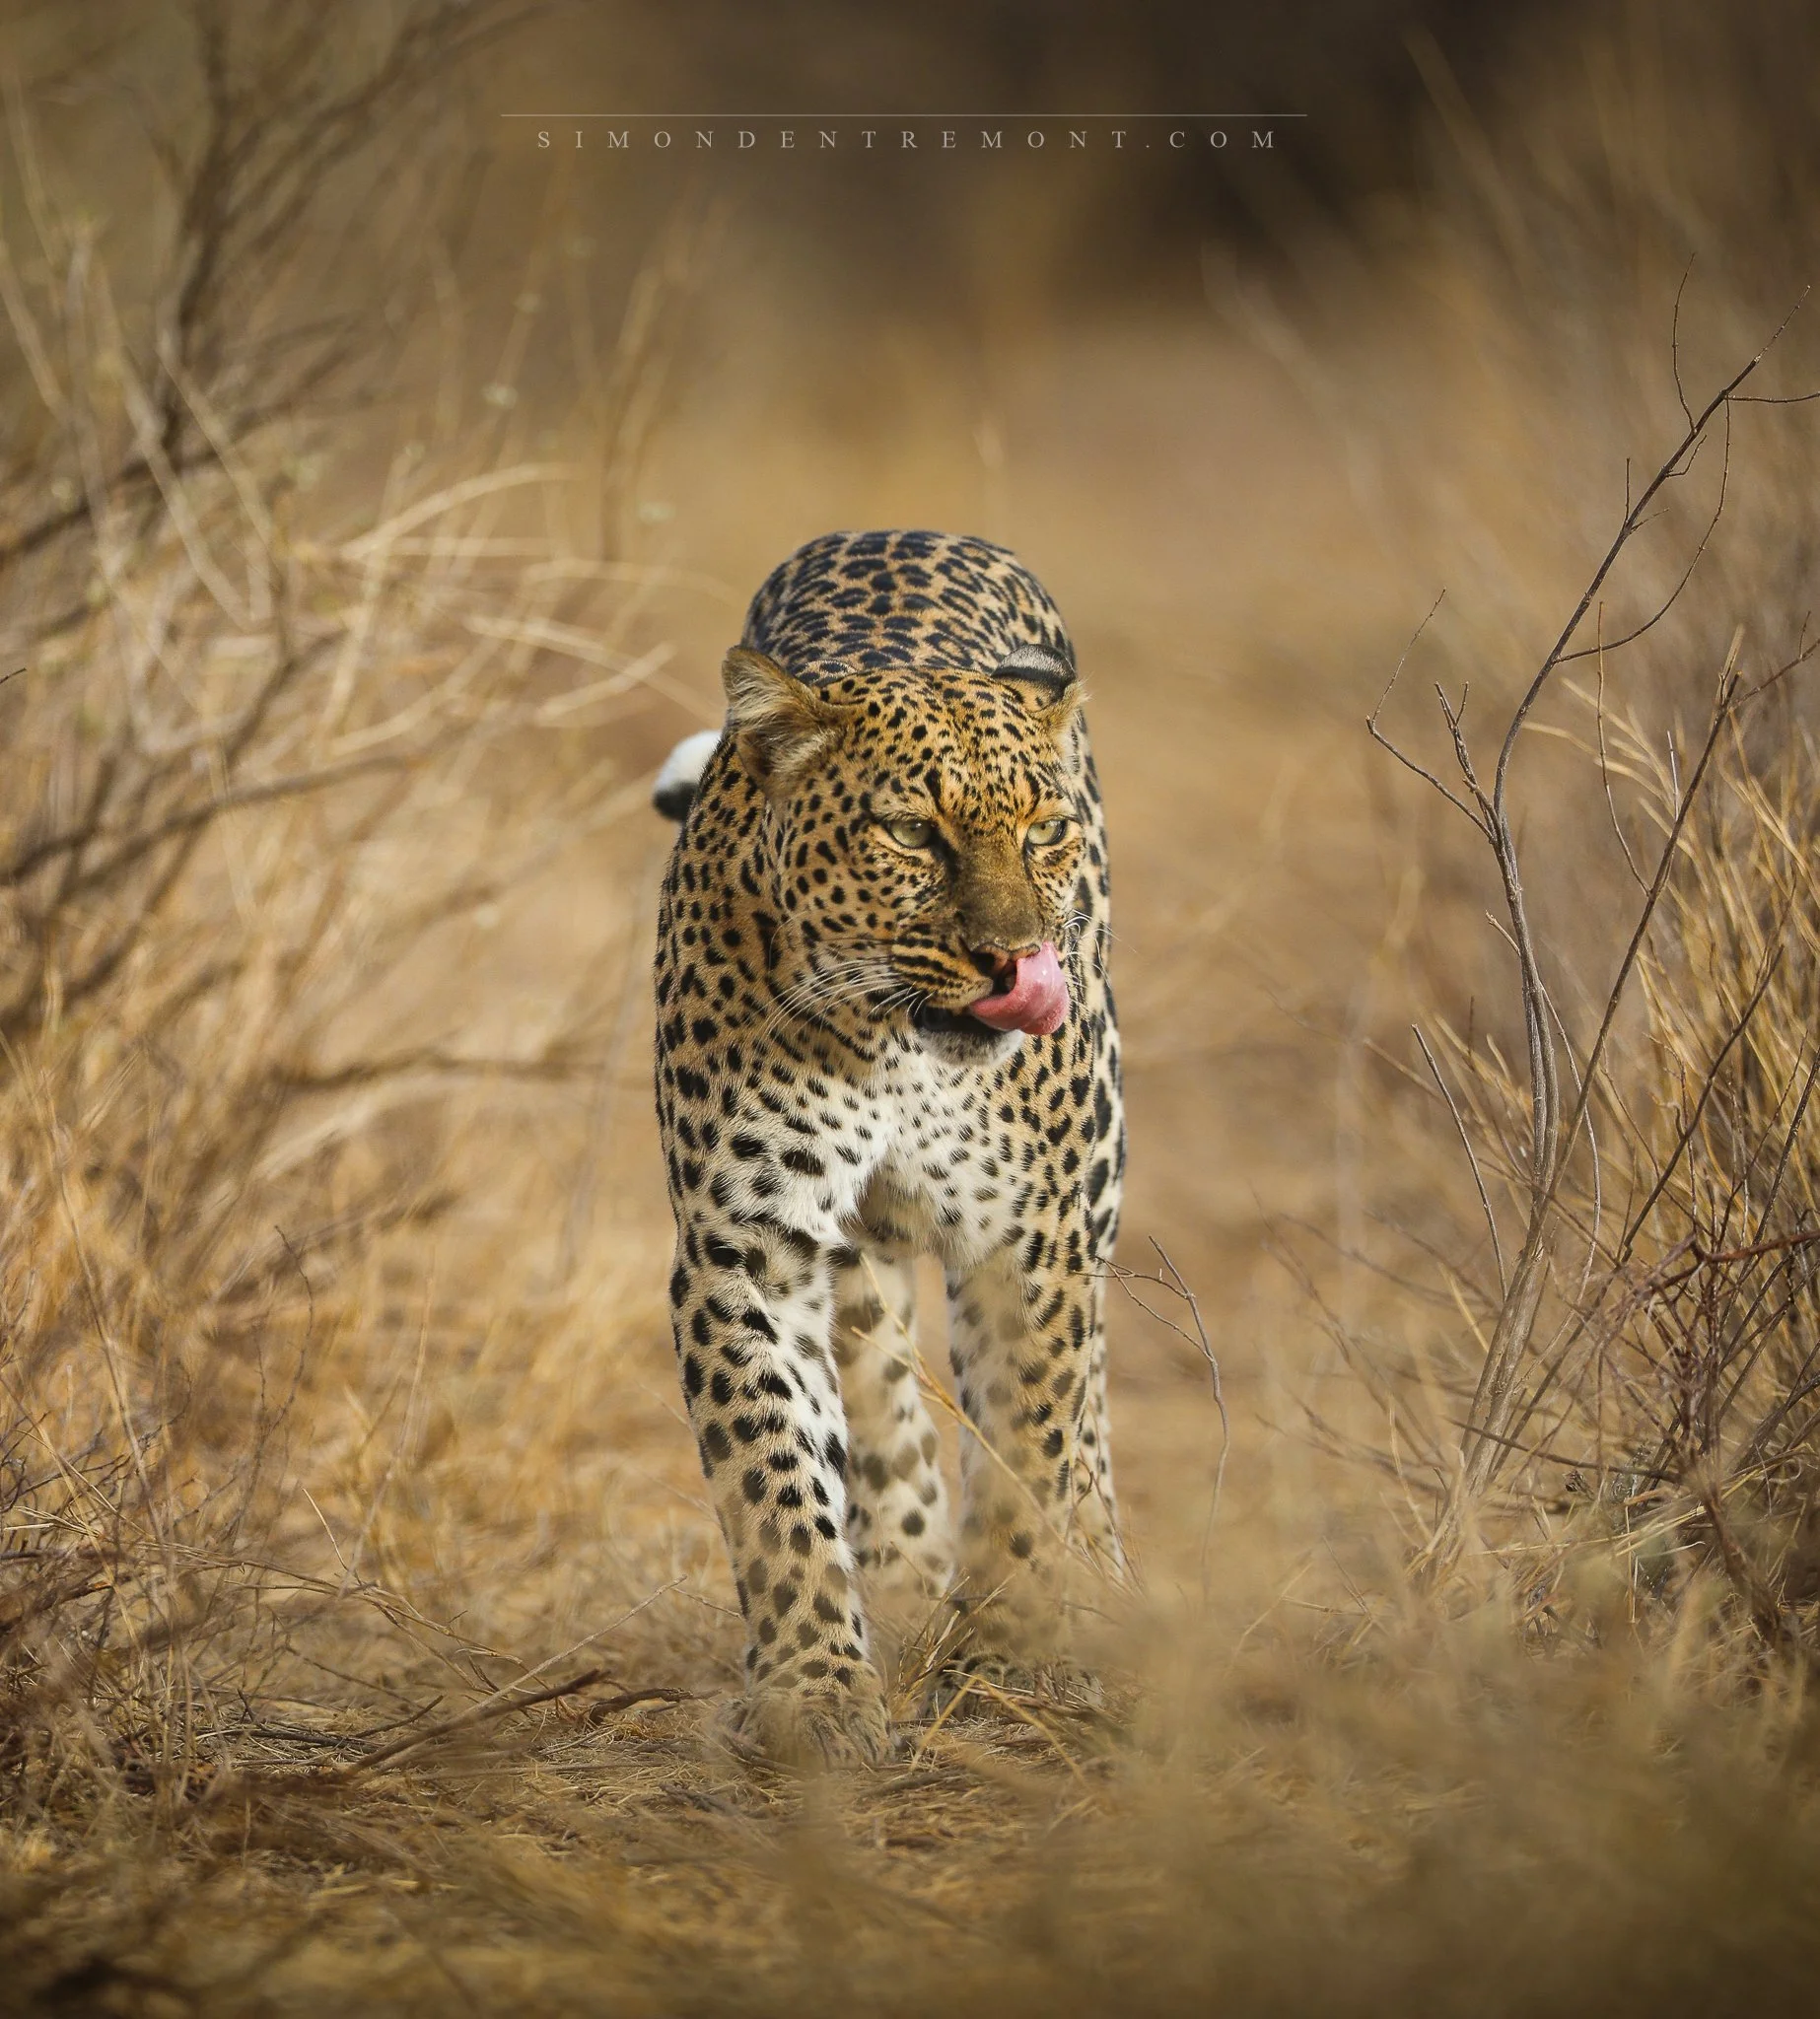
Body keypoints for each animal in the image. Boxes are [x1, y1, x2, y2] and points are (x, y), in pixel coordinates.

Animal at [651, 528, 1125, 1765]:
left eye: (1042, 830)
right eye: (912, 831)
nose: (1016, 958)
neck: (899, 1046)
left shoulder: (1032, 1233)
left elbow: (1034, 1437)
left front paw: (1017, 1648)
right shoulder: (747, 1246)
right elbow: (775, 1472)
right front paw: (815, 1685)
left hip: (1097, 1173)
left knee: (1086, 1409)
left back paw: (1095, 1578)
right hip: (850, 1252)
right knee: (879, 1384)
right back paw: (905, 1578)